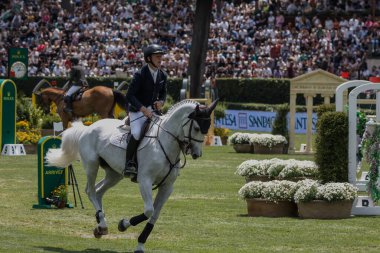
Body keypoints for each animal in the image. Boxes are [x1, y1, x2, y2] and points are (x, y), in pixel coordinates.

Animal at [44, 99, 217, 253]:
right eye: (196, 128)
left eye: (207, 127)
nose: (196, 154)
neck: (166, 143)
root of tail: (88, 128)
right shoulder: (145, 180)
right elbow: (149, 211)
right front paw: (123, 224)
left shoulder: (167, 187)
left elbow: (154, 216)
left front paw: (140, 245)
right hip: (92, 165)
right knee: (90, 190)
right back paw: (102, 225)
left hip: (114, 174)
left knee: (99, 191)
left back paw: (100, 226)